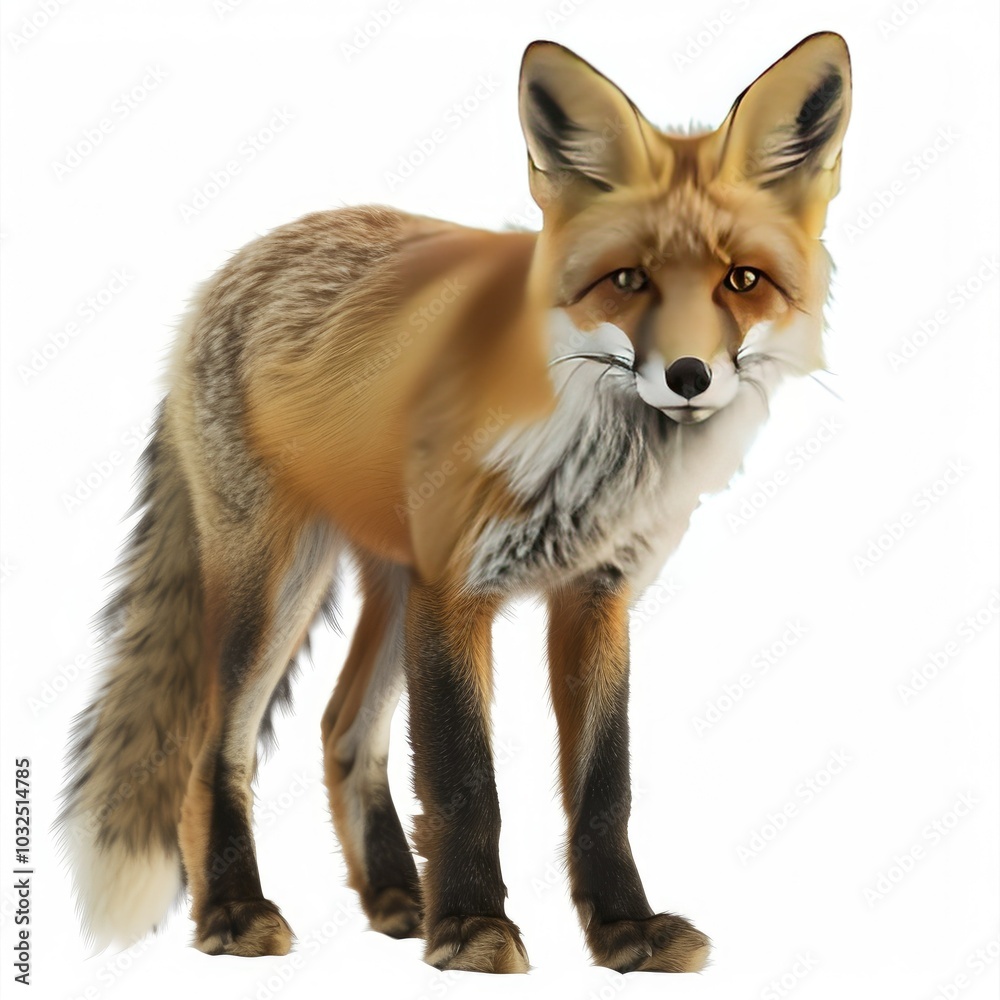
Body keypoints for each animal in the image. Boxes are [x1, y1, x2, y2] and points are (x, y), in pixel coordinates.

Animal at [57, 33, 851, 974]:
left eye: (743, 280)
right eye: (627, 279)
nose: (689, 377)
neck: (587, 448)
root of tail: (239, 263)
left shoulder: (596, 593)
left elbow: (604, 788)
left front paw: (624, 930)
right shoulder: (457, 586)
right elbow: (466, 780)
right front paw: (473, 927)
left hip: (388, 584)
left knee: (342, 730)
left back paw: (396, 896)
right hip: (281, 581)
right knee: (213, 752)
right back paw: (234, 910)